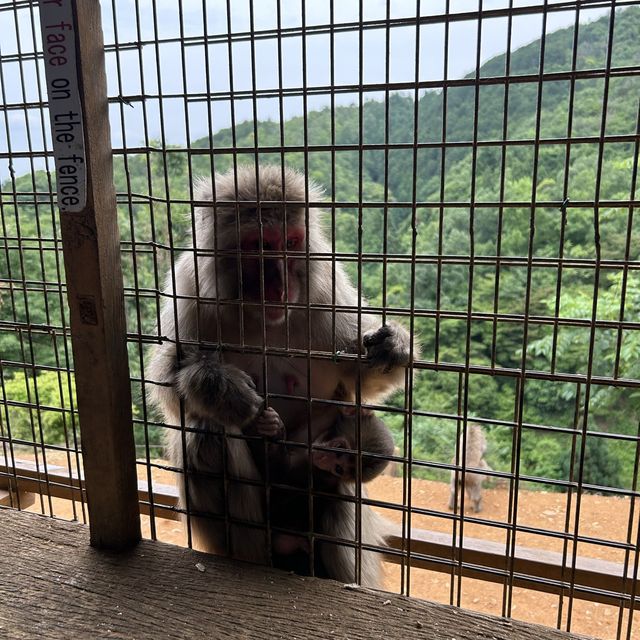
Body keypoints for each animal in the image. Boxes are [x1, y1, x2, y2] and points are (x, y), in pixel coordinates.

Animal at [147, 164, 412, 584]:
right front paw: (219, 389)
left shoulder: (327, 291)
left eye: (290, 241)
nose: (279, 287)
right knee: (205, 435)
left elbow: (357, 379)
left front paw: (393, 346)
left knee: (338, 495)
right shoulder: (188, 289)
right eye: (259, 245)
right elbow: (169, 385)